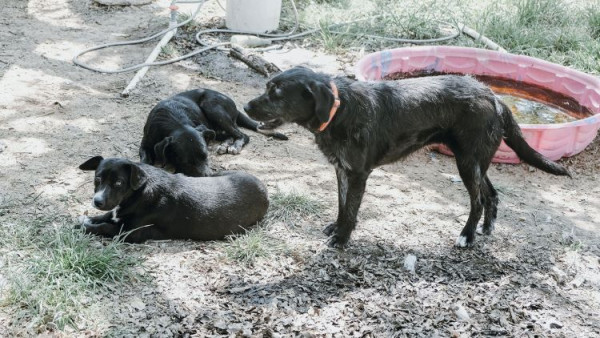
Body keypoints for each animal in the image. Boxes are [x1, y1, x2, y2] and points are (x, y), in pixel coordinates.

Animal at [78, 156, 270, 243]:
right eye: (97, 179)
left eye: (118, 183)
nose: (97, 201)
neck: (139, 193)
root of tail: (264, 190)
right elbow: (106, 215)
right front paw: (86, 219)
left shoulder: (129, 233)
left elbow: (104, 226)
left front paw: (84, 227)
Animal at [142, 88, 290, 177]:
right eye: (186, 162)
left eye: (206, 156)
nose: (210, 177)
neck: (175, 121)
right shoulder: (145, 144)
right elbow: (145, 160)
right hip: (214, 126)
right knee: (232, 134)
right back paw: (225, 145)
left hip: (213, 108)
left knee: (242, 135)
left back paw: (234, 146)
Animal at [245, 67, 572, 250]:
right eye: (267, 86)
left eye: (277, 93)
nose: (246, 107)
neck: (339, 110)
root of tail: (493, 96)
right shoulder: (341, 170)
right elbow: (341, 205)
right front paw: (336, 228)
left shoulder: (358, 174)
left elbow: (350, 210)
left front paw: (342, 239)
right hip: (477, 162)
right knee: (491, 194)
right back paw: (486, 230)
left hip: (467, 163)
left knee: (478, 200)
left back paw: (466, 237)